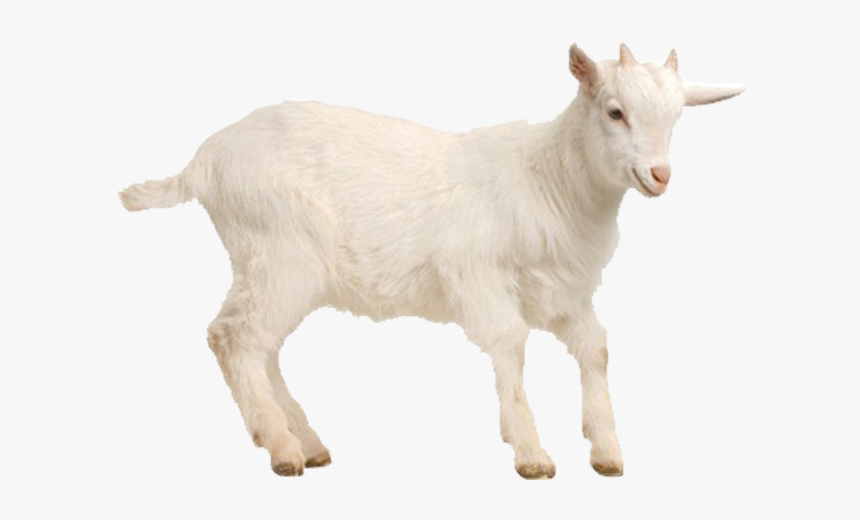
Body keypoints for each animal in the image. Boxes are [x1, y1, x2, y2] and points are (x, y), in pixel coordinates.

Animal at [119, 43, 744, 479]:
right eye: (615, 112)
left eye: (677, 118)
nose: (659, 175)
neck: (549, 177)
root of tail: (202, 163)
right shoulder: (481, 277)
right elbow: (511, 344)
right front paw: (531, 452)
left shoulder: (561, 290)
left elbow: (596, 346)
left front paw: (607, 450)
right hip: (278, 251)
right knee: (235, 336)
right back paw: (281, 448)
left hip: (274, 266)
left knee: (257, 343)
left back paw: (306, 441)